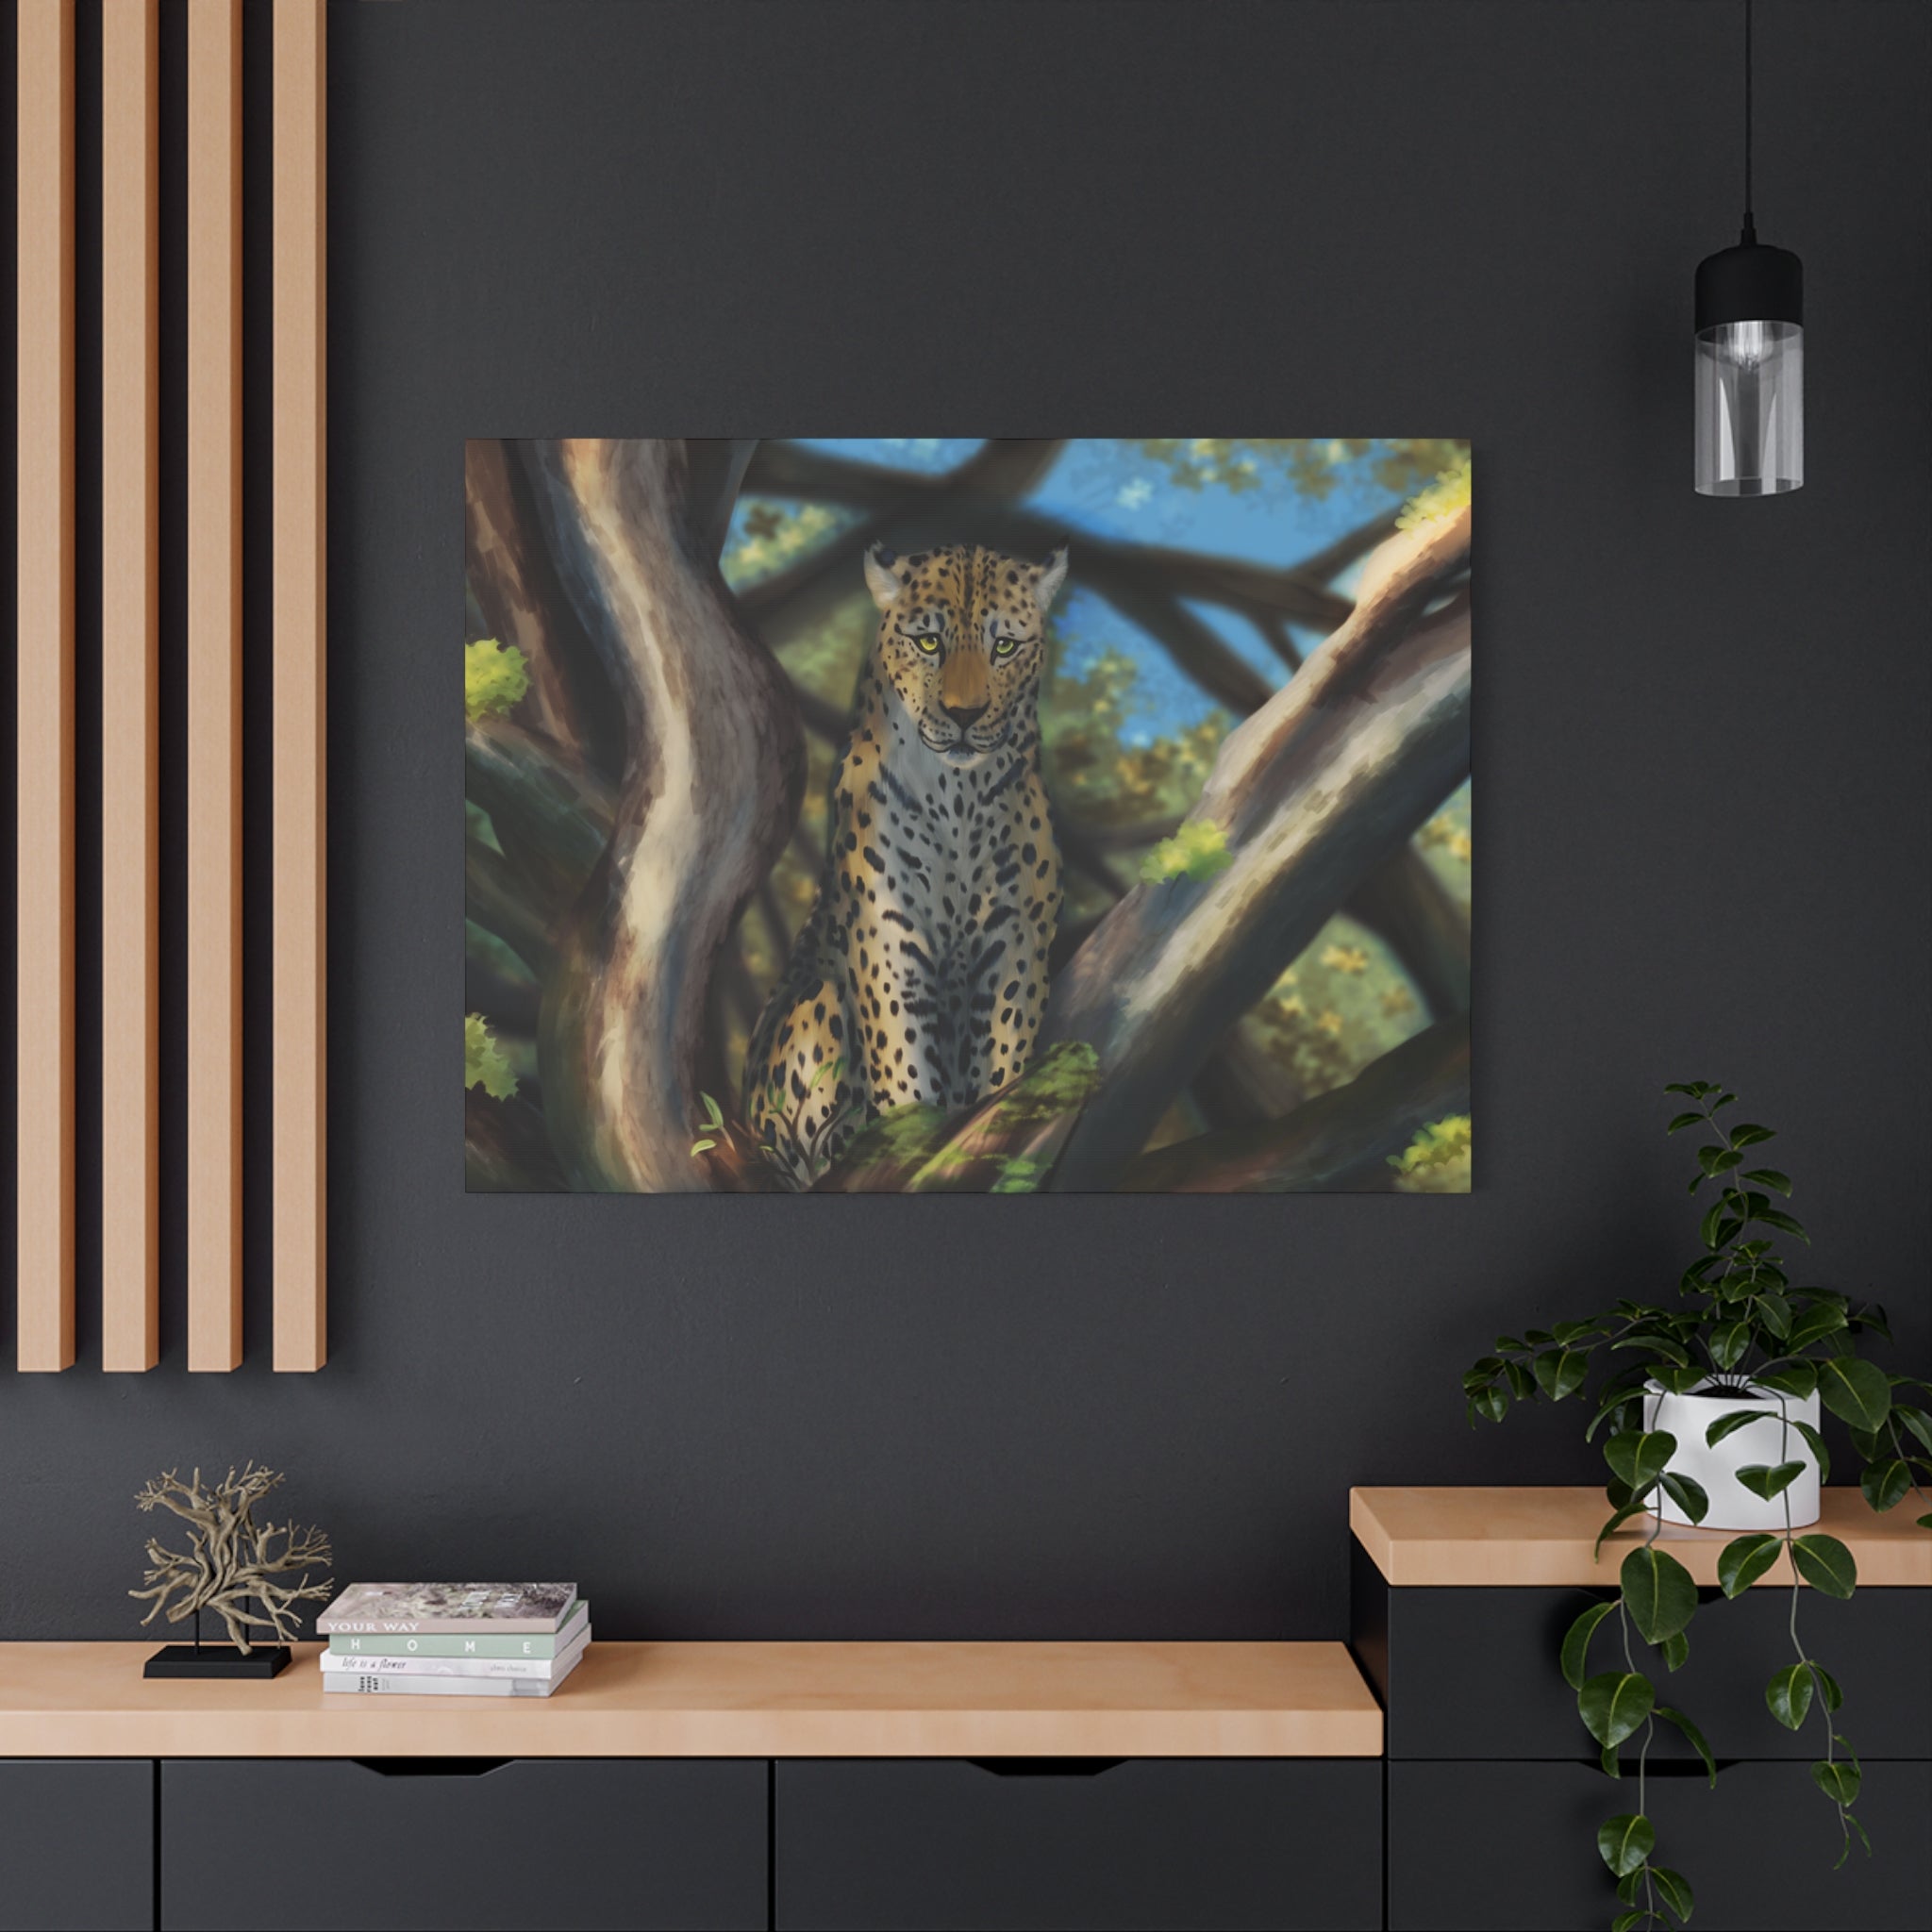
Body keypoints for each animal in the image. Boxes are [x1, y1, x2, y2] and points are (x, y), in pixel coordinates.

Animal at [744, 541, 1069, 1187]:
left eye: (1004, 646)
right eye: (928, 642)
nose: (965, 714)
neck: (958, 795)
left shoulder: (1016, 940)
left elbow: (1005, 1056)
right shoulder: (887, 938)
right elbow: (903, 1060)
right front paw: (913, 1139)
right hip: (815, 1007)